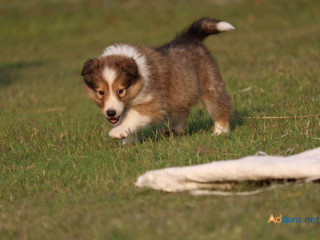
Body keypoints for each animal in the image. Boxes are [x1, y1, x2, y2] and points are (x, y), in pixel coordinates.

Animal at [81, 17, 234, 142]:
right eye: (100, 92)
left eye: (120, 91)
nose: (110, 113)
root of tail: (189, 38)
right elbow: (123, 118)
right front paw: (128, 140)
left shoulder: (153, 103)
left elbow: (132, 116)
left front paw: (118, 132)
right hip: (180, 91)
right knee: (181, 113)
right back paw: (174, 132)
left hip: (210, 84)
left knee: (220, 106)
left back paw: (220, 131)